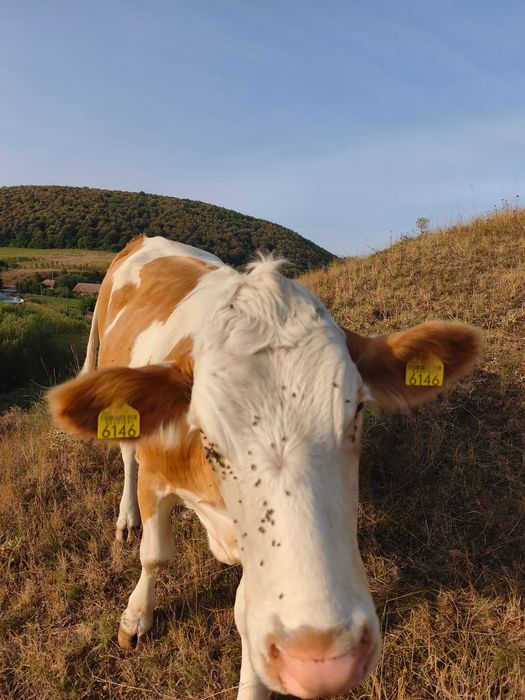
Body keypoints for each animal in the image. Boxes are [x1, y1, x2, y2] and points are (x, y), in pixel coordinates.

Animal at [48, 236, 482, 699]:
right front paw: (135, 617)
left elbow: (246, 609)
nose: (322, 659)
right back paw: (127, 519)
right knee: (128, 460)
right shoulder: (158, 477)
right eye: (204, 430)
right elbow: (155, 555)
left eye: (358, 411)